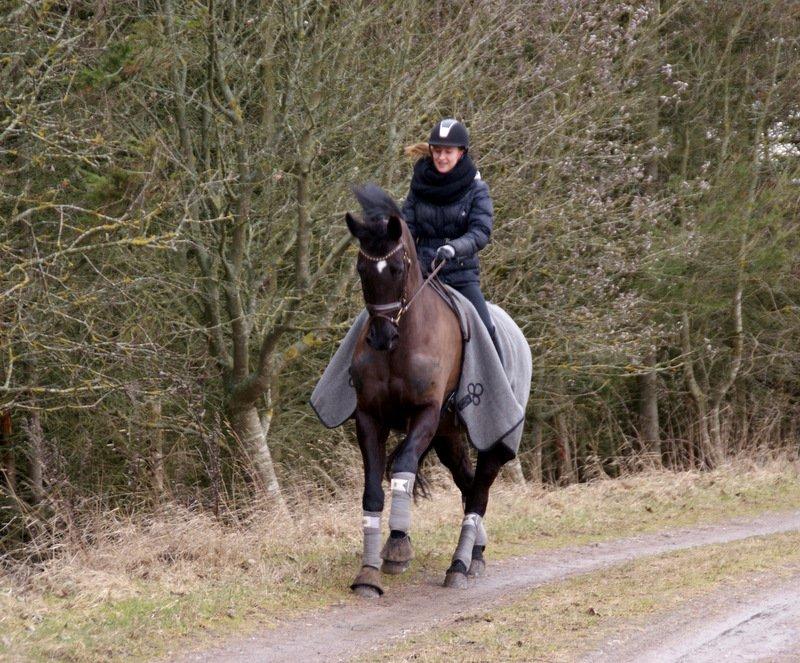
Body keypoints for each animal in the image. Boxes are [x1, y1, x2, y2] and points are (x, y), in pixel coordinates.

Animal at [344, 183, 512, 596]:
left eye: (398, 268)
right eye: (361, 269)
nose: (381, 337)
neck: (402, 347)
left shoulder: (426, 413)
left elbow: (404, 464)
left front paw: (398, 547)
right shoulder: (369, 418)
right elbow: (372, 489)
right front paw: (368, 572)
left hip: (488, 437)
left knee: (479, 491)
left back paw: (460, 565)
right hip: (448, 438)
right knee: (468, 484)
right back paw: (476, 553)